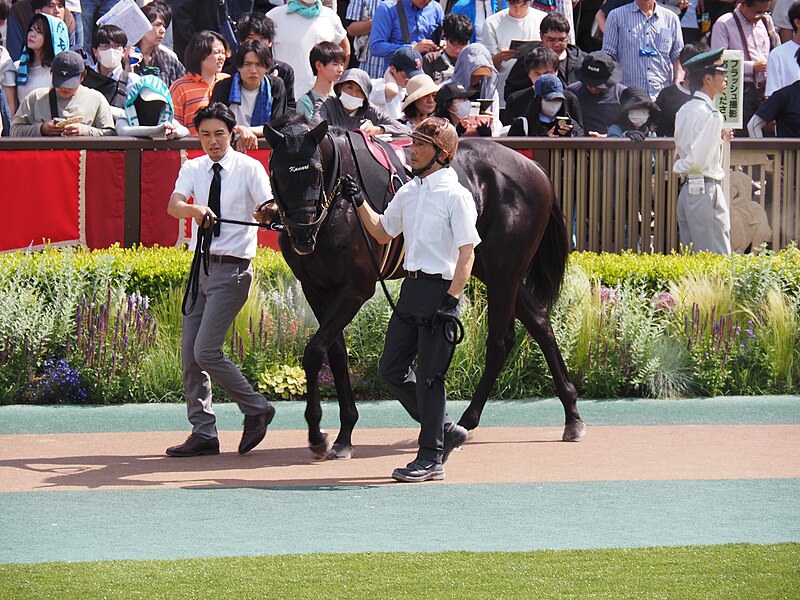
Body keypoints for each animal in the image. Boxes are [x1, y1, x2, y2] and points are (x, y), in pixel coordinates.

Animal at [266, 118, 584, 460]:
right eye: (277, 172)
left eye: (314, 171)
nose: (303, 234)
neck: (338, 202)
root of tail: (534, 168)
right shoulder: (315, 287)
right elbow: (334, 353)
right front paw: (341, 434)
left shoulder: (356, 288)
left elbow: (314, 352)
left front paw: (318, 434)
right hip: (490, 268)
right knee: (539, 321)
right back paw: (570, 413)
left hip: (504, 271)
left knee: (500, 342)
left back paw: (467, 421)